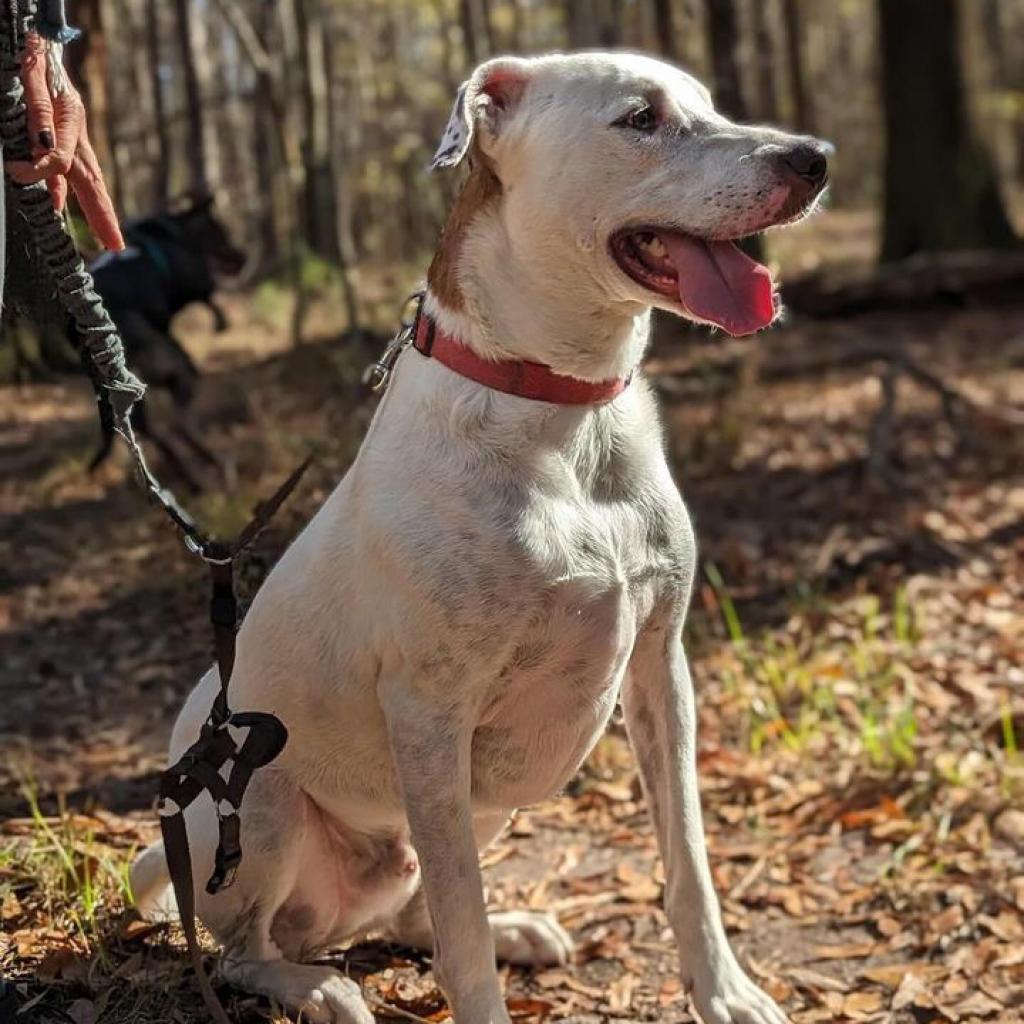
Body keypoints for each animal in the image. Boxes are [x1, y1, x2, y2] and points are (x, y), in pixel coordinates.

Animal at [132, 51, 827, 1024]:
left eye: (711, 104)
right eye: (641, 118)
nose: (814, 159)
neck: (562, 406)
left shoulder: (662, 668)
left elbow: (687, 855)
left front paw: (723, 991)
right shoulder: (429, 718)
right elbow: (460, 931)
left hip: (500, 784)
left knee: (407, 905)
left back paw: (511, 931)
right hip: (261, 801)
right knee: (246, 948)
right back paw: (316, 987)